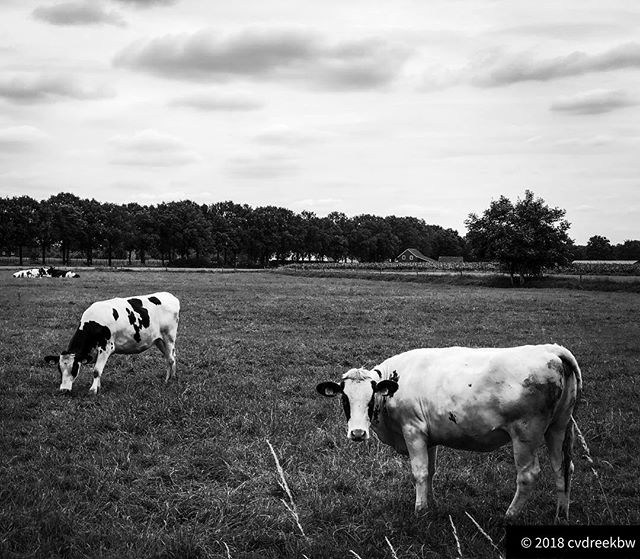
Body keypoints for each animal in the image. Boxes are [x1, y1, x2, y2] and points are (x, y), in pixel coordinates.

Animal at [45, 294, 180, 394]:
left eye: (74, 369)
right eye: (59, 369)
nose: (64, 390)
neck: (94, 323)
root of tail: (171, 296)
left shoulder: (106, 348)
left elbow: (96, 370)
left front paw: (93, 390)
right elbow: (98, 370)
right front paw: (98, 386)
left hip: (169, 337)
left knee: (171, 359)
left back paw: (168, 380)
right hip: (159, 340)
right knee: (170, 357)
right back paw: (172, 377)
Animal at [318, 344, 584, 524]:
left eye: (371, 397)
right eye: (345, 398)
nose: (358, 432)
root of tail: (550, 350)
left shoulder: (413, 430)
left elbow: (419, 472)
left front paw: (419, 510)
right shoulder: (429, 436)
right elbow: (430, 471)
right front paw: (431, 504)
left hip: (526, 433)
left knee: (528, 475)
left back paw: (509, 515)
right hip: (558, 428)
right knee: (563, 469)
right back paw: (561, 514)